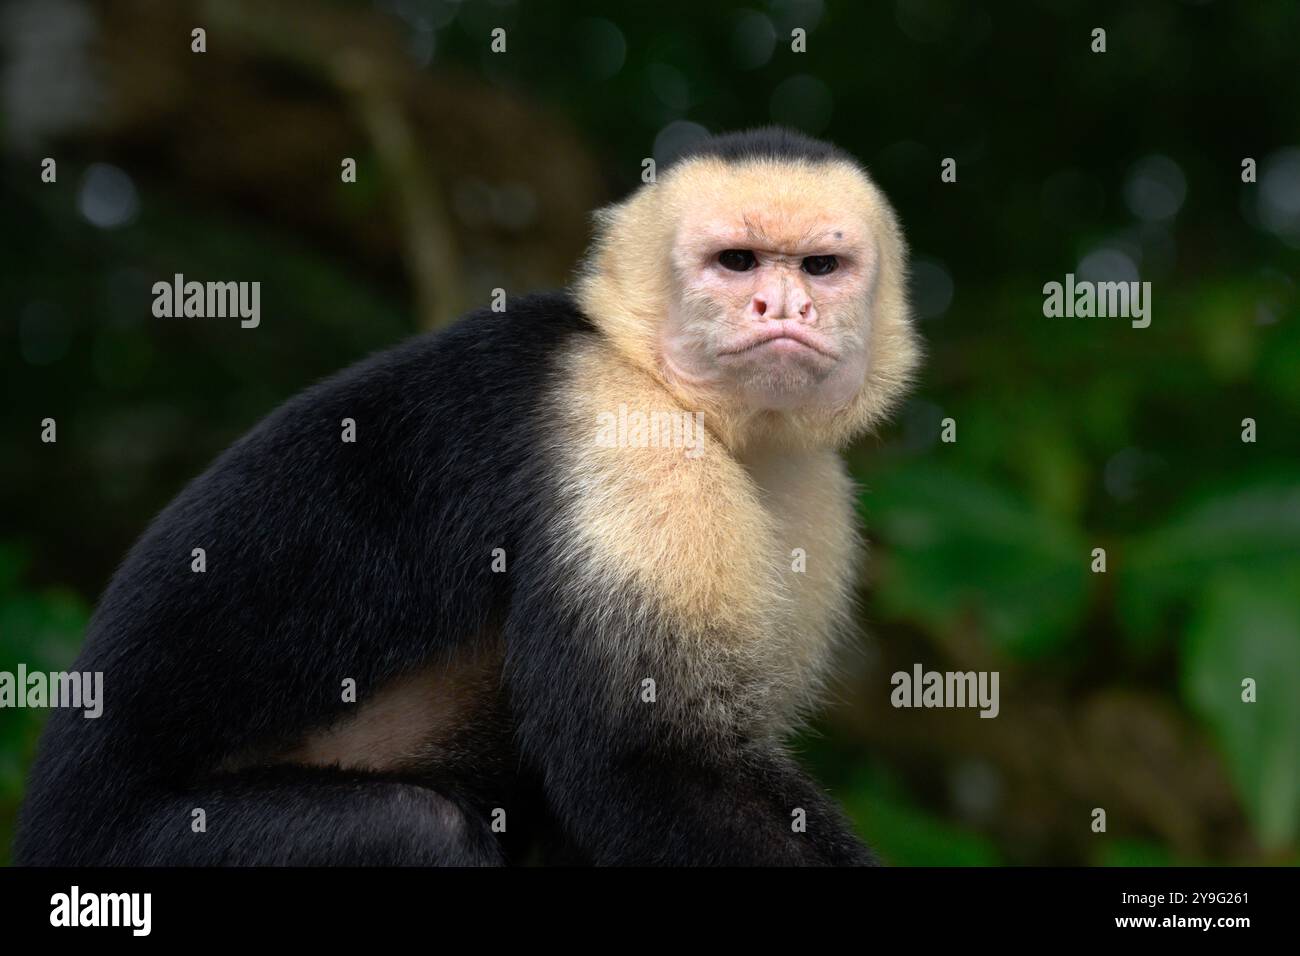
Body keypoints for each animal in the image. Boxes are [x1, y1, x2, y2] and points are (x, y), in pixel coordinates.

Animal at [15, 127, 919, 866]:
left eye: (821, 268)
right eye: (736, 262)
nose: (783, 305)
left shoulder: (815, 492)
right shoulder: (622, 430)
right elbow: (650, 764)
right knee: (417, 831)